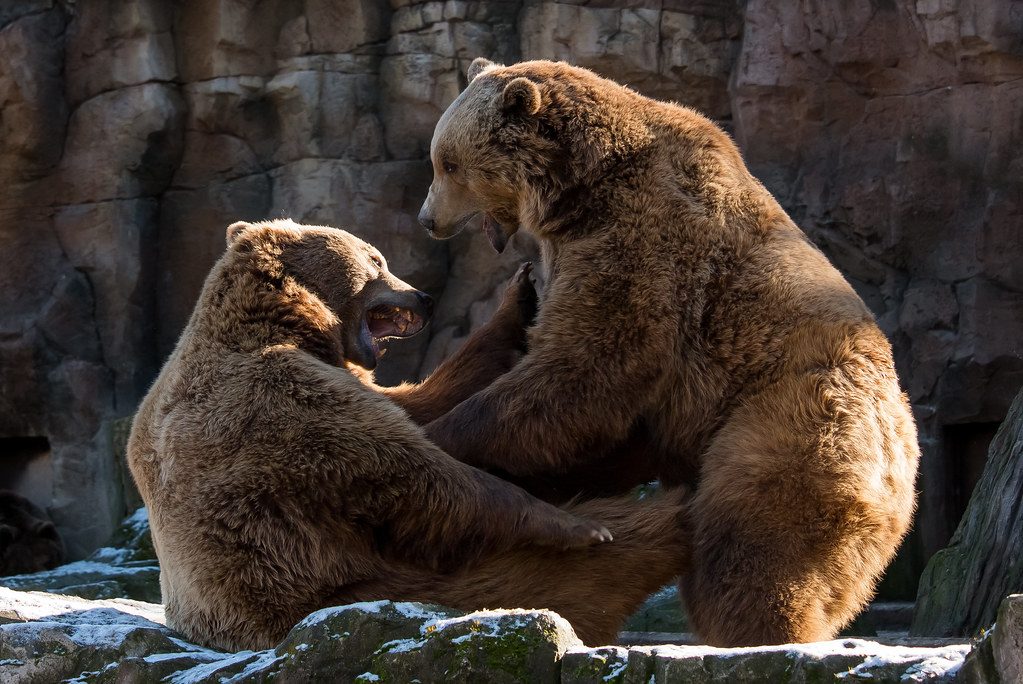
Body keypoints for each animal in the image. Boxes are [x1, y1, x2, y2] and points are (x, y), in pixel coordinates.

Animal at [127, 218, 688, 651]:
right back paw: (652, 518)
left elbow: (423, 404)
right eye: (376, 259)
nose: (424, 294)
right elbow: (413, 475)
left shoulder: (344, 376)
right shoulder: (280, 401)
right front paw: (572, 524)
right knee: (573, 570)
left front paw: (519, 295)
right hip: (356, 582)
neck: (283, 323)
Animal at [416, 58, 921, 647]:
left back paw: (760, 626)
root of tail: (905, 459)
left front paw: (443, 434)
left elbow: (584, 368)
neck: (578, 187)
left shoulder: (644, 240)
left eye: (449, 163)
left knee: (751, 534)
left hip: (794, 420)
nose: (427, 219)